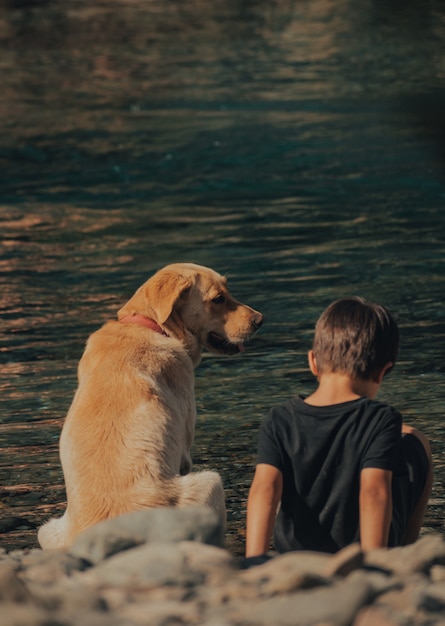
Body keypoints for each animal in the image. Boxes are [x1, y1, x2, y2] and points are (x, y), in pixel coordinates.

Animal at [38, 262, 262, 544]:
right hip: (209, 483)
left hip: (47, 529)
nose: (260, 320)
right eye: (218, 299)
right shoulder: (184, 447)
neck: (150, 326)